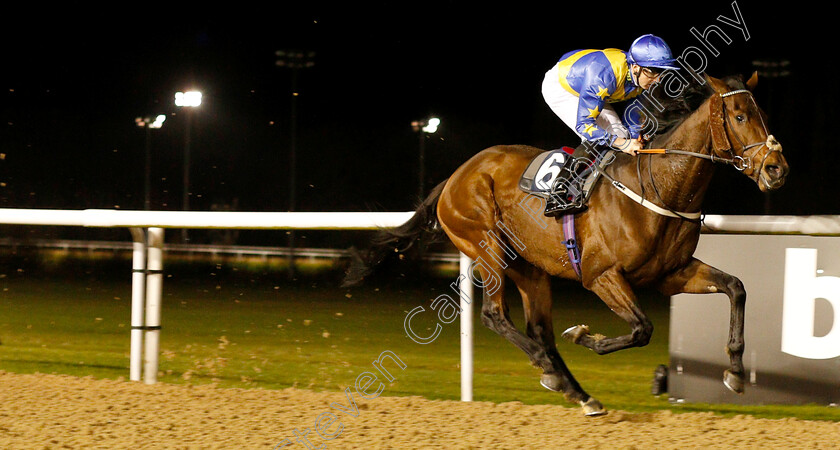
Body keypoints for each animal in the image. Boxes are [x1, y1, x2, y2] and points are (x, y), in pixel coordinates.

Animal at [342, 73, 788, 414]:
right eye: (739, 115)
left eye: (764, 115)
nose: (776, 168)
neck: (659, 187)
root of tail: (454, 177)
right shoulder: (600, 275)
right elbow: (642, 328)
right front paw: (585, 337)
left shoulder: (672, 273)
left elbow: (736, 287)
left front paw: (735, 372)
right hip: (486, 248)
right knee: (495, 316)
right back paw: (552, 372)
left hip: (531, 269)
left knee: (540, 330)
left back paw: (579, 392)